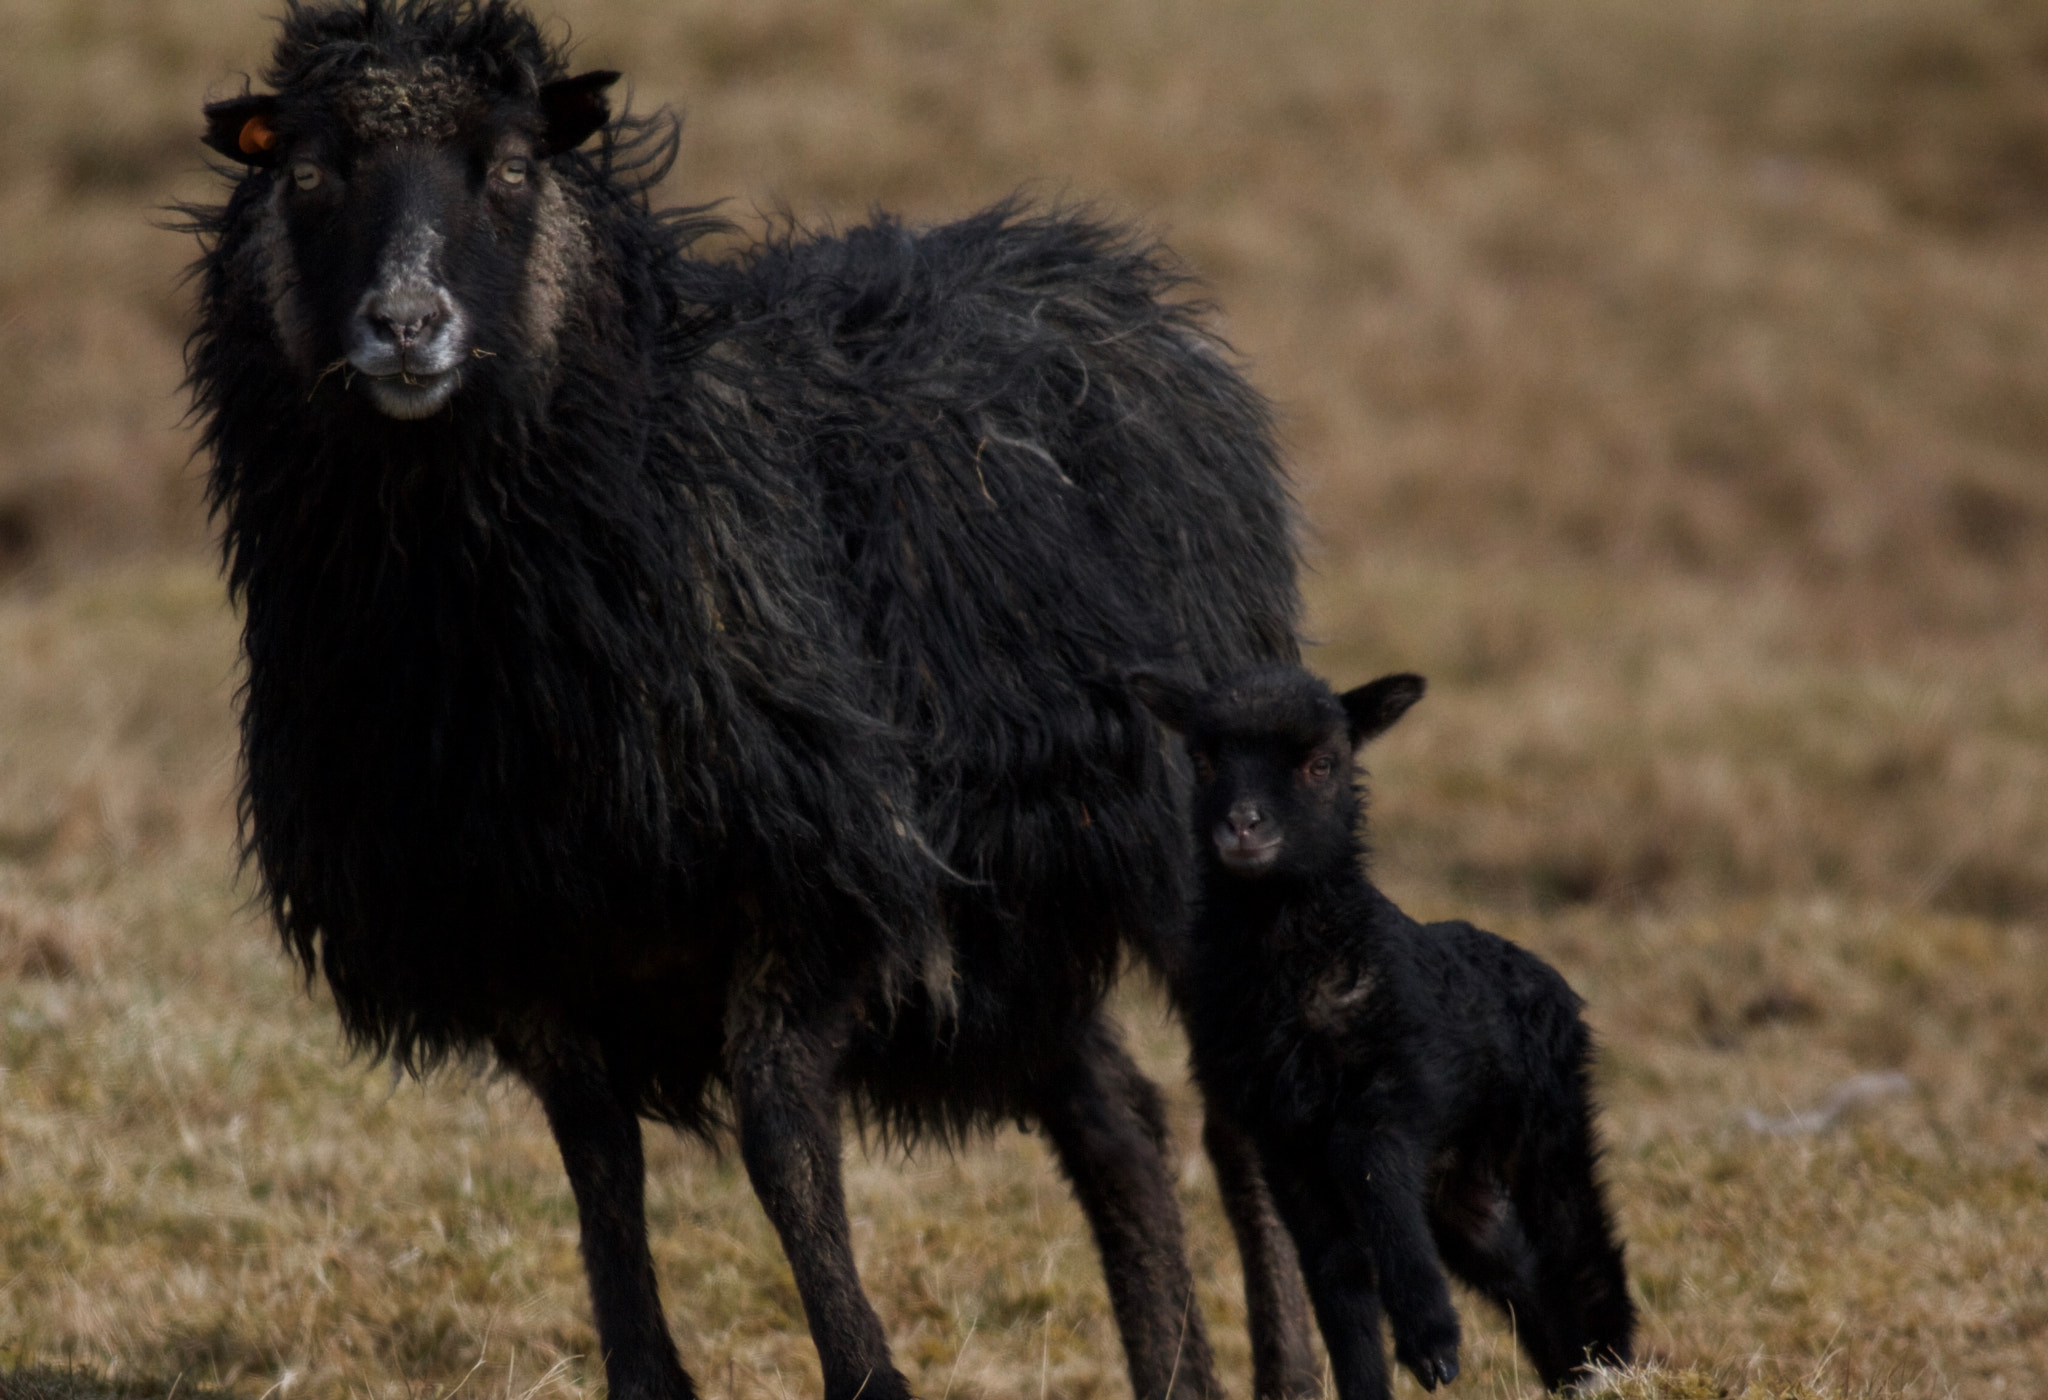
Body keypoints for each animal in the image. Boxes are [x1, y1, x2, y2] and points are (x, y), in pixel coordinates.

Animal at [184, 2, 1318, 1400]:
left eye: (510, 167)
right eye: (305, 172)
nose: (405, 322)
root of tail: (1118, 281)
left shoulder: (818, 878)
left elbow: (780, 1133)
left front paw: (867, 1373)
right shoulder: (512, 930)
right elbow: (599, 1162)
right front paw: (646, 1377)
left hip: (1177, 830)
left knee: (1229, 1109)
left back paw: (1286, 1372)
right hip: (1016, 915)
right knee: (1114, 1112)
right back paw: (1172, 1371)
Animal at [1130, 671, 1638, 1400]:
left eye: (1323, 763)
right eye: (1200, 761)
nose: (1244, 826)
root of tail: (1542, 970)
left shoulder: (1397, 1085)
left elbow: (1371, 1170)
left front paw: (1431, 1342)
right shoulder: (1279, 1133)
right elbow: (1334, 1274)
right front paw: (1371, 1378)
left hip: (1542, 1126)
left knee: (1576, 1244)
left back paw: (1611, 1368)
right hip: (1457, 1177)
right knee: (1513, 1262)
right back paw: (1570, 1370)